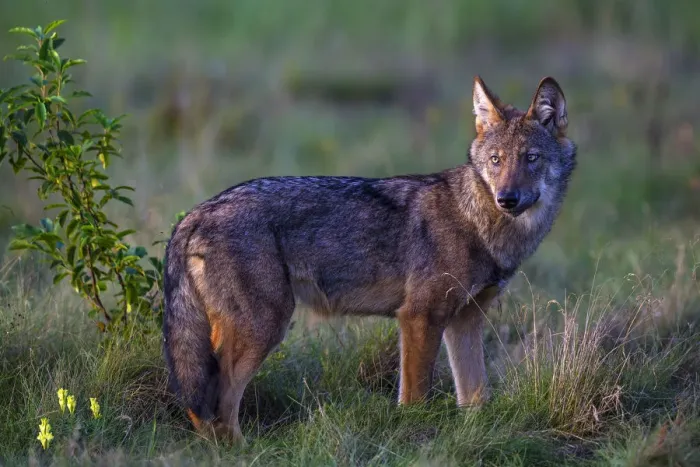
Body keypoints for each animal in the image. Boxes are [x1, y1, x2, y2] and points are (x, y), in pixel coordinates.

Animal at [162, 75, 577, 442]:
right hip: (264, 328)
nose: (507, 198)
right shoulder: (420, 317)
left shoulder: (465, 321)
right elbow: (414, 399)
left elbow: (475, 397)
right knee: (219, 403)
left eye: (531, 158)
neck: (479, 221)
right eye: (495, 160)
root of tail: (194, 213)